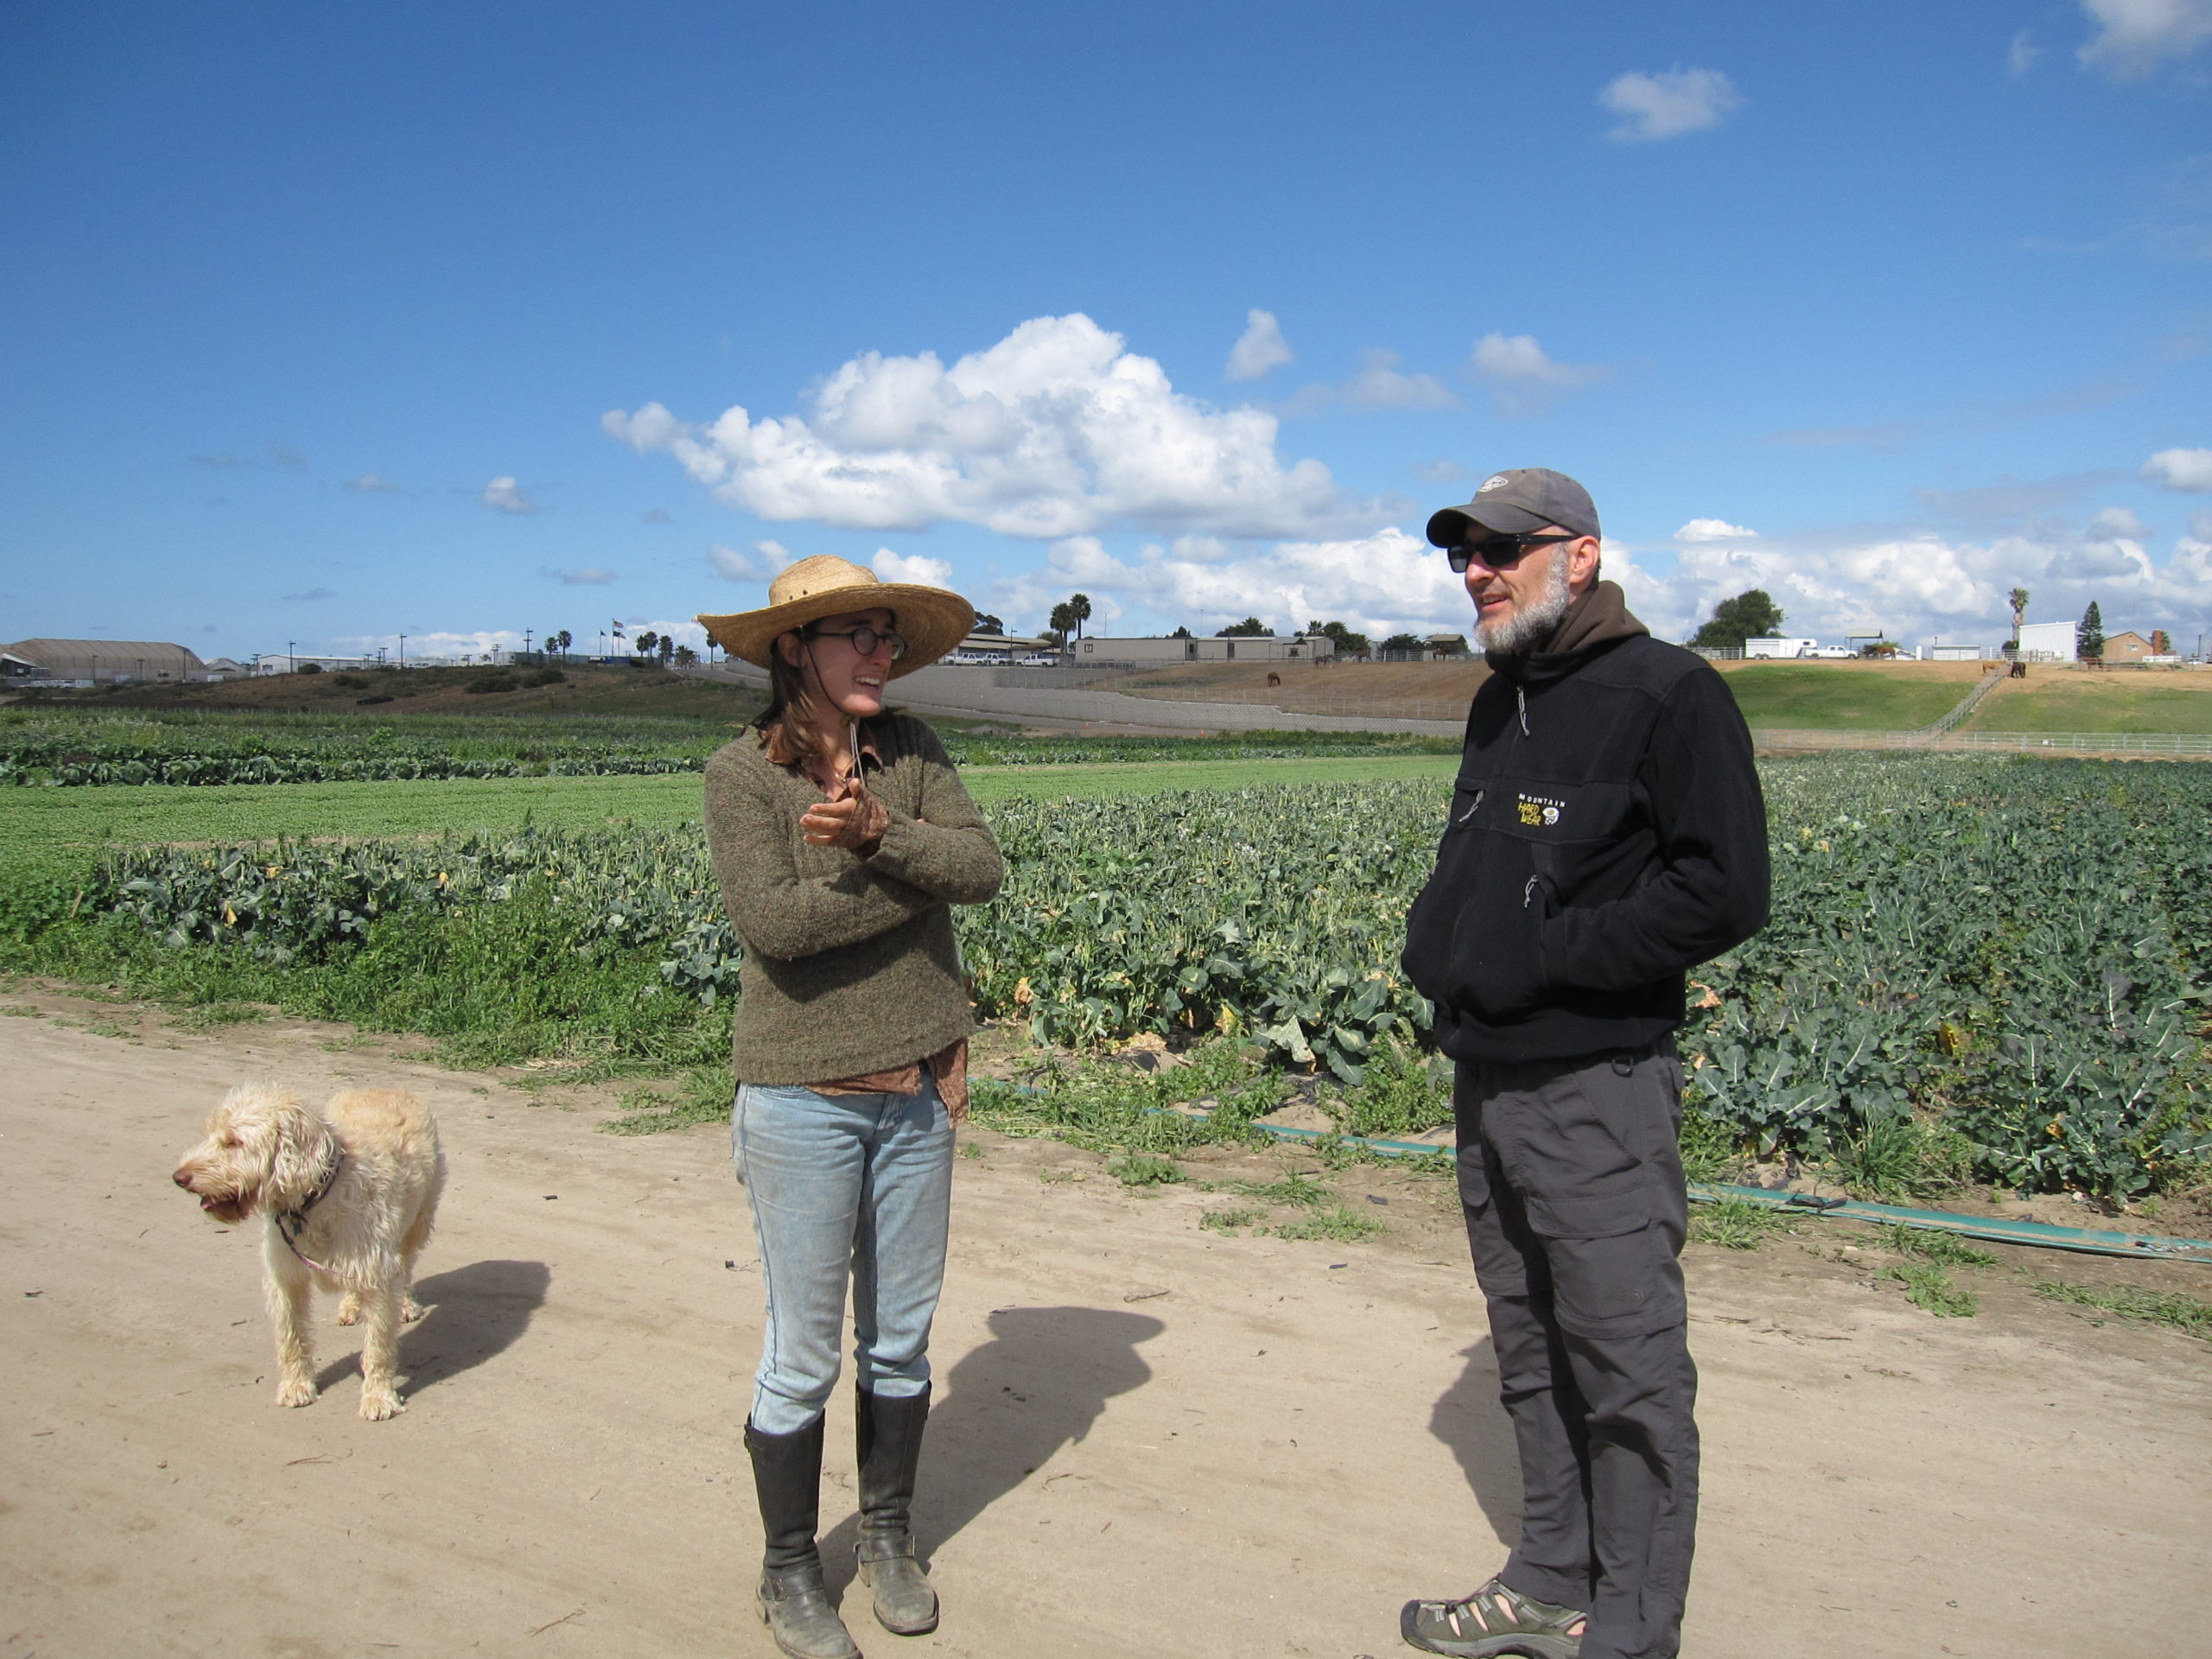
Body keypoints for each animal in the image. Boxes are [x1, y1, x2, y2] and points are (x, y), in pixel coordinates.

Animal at [175, 1084, 448, 1424]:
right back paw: (351, 1306)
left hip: (417, 1223)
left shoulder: (379, 1278)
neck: (316, 1197)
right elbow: (291, 1336)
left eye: (234, 1141)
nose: (179, 1178)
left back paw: (407, 1304)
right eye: (212, 1134)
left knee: (407, 1265)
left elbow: (379, 1346)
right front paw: (296, 1386)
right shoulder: (286, 1277)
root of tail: (385, 1086)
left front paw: (379, 1396)